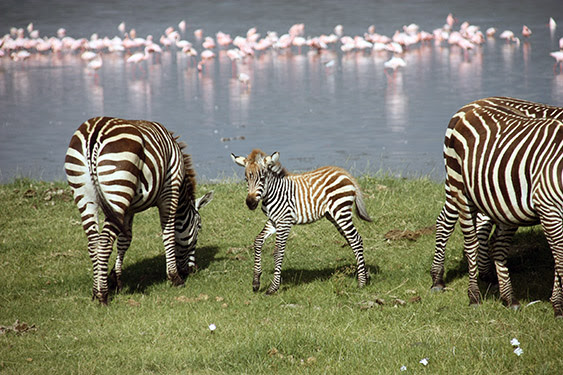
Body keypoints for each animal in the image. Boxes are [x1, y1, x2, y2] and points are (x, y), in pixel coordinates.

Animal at [64, 117, 214, 306]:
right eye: (199, 227)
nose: (192, 270)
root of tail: (95, 133)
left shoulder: (128, 209)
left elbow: (125, 240)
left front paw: (116, 279)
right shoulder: (169, 192)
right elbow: (169, 234)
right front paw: (174, 278)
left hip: (85, 194)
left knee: (93, 242)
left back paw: (95, 291)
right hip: (117, 190)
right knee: (104, 242)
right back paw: (103, 295)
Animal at [231, 148, 372, 296]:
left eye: (262, 178)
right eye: (246, 179)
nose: (250, 203)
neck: (273, 193)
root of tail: (345, 173)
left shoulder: (284, 222)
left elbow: (278, 251)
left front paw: (273, 287)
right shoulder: (273, 221)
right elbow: (258, 241)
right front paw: (256, 282)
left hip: (341, 213)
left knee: (356, 239)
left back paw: (361, 282)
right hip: (334, 216)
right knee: (352, 240)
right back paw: (365, 275)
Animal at [438, 103, 563, 318]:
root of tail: (470, 107)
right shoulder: (549, 209)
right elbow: (560, 259)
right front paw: (559, 307)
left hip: (504, 203)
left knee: (497, 245)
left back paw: (509, 297)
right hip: (460, 189)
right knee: (468, 242)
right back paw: (472, 296)